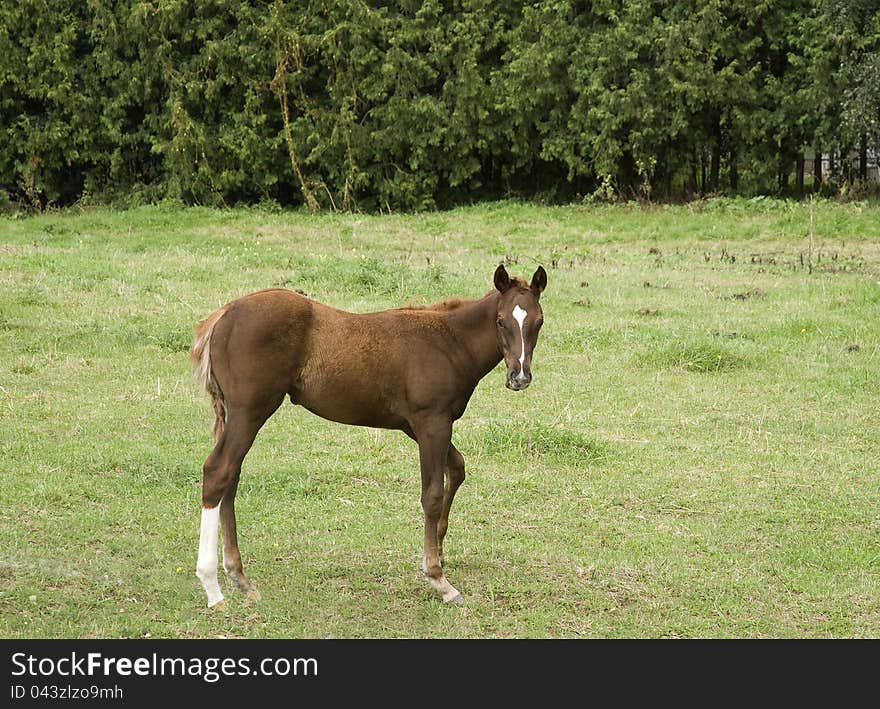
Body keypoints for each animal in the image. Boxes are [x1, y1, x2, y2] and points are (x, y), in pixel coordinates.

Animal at [192, 262, 548, 604]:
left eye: (539, 322)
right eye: (500, 321)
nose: (519, 376)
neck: (450, 343)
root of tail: (224, 314)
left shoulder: (420, 426)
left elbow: (457, 468)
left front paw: (440, 551)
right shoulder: (432, 422)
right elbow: (431, 494)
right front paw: (438, 578)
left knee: (232, 476)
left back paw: (240, 578)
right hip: (249, 411)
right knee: (218, 471)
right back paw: (213, 588)